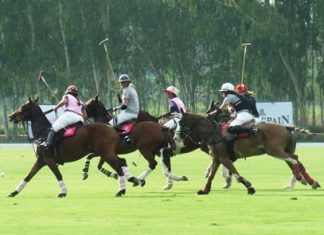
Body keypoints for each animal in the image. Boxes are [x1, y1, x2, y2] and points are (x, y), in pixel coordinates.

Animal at [7, 96, 137, 197]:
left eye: (23, 107)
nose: (10, 116)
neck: (42, 132)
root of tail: (112, 128)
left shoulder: (49, 160)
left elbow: (58, 175)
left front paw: (63, 193)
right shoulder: (41, 160)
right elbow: (28, 176)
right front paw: (13, 192)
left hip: (106, 153)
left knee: (119, 166)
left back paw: (122, 189)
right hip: (106, 153)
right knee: (121, 162)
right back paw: (130, 182)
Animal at [178, 111, 320, 196]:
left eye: (181, 123)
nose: (176, 137)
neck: (213, 132)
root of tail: (286, 127)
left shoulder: (224, 158)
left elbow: (236, 173)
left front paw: (249, 187)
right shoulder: (217, 159)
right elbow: (211, 176)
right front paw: (205, 190)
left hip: (274, 150)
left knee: (294, 159)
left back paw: (302, 179)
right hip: (282, 150)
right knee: (296, 159)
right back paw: (310, 181)